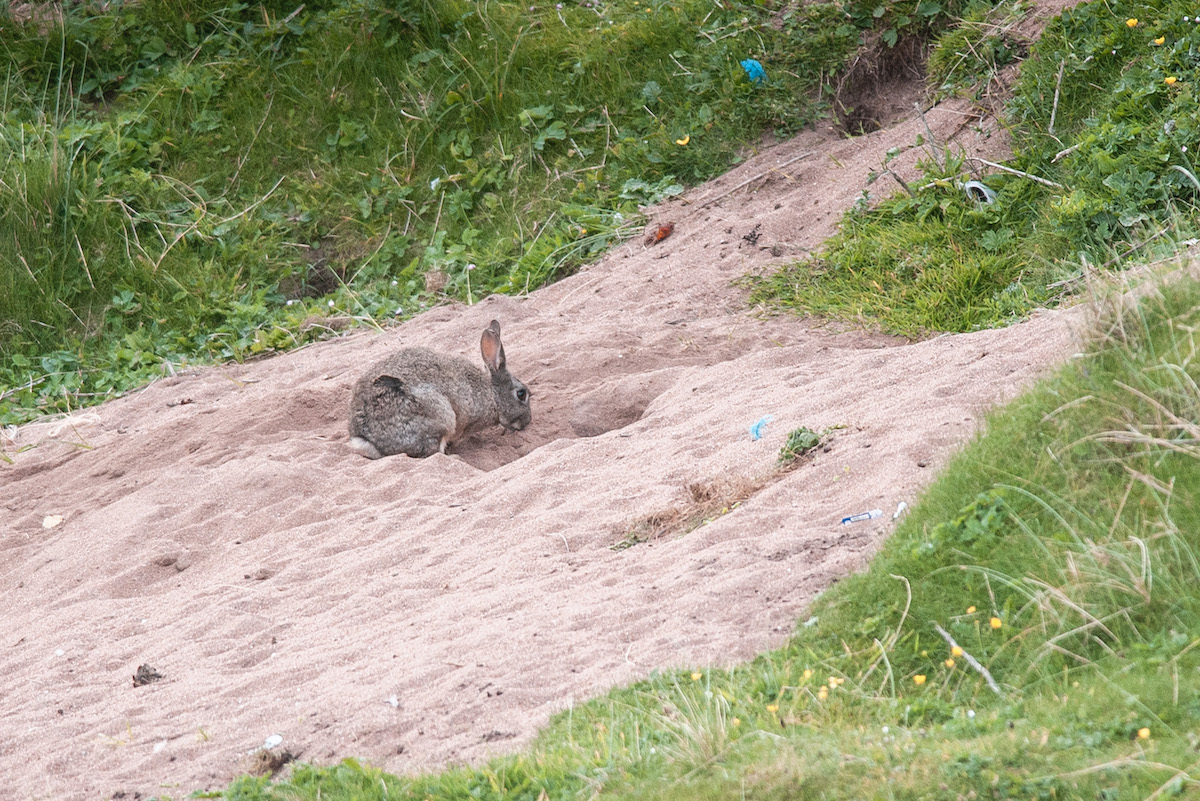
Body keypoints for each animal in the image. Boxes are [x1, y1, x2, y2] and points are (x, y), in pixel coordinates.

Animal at [350, 316, 532, 460]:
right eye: (521, 394)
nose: (527, 422)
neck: (492, 394)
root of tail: (367, 438)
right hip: (440, 416)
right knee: (432, 452)